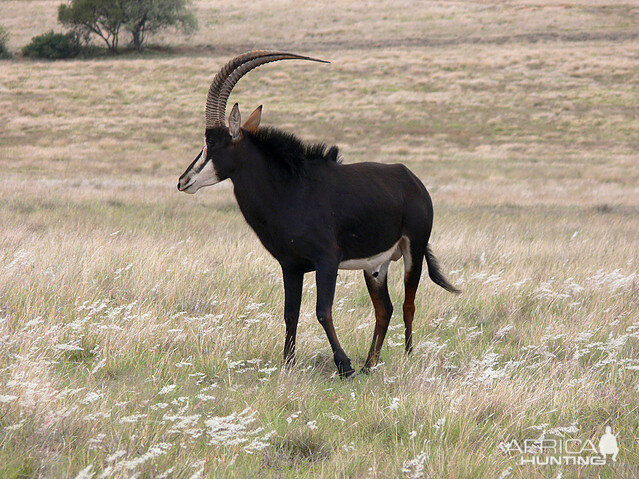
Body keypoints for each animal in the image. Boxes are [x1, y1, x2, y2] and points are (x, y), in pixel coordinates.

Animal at [180, 50, 460, 376]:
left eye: (212, 143)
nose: (183, 181)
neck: (290, 188)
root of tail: (412, 180)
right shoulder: (290, 266)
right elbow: (290, 313)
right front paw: (288, 364)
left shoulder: (327, 260)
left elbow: (322, 311)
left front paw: (344, 365)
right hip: (375, 266)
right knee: (385, 309)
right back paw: (370, 365)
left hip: (413, 250)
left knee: (408, 305)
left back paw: (406, 358)